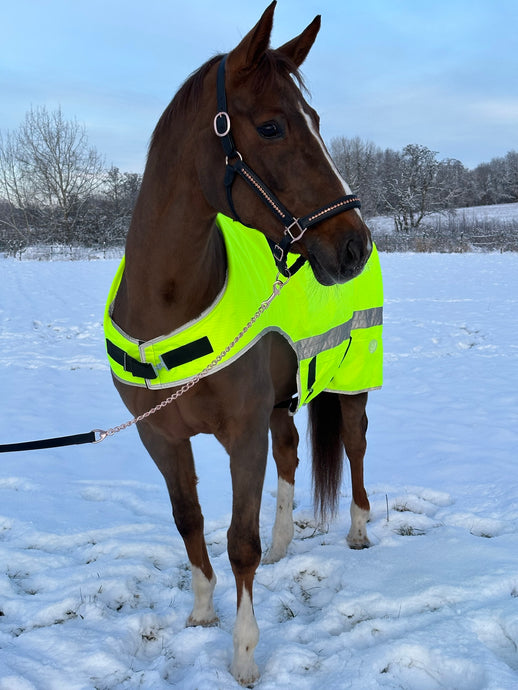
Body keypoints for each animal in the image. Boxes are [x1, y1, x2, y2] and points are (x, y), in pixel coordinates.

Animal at [106, 2, 382, 684]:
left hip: (350, 384)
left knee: (356, 447)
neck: (170, 306)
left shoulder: (242, 434)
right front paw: (203, 611)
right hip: (284, 399)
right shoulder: (161, 437)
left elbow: (239, 542)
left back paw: (359, 528)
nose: (353, 246)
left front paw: (244, 654)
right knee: (291, 454)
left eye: (315, 120)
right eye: (273, 126)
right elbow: (190, 521)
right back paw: (286, 543)